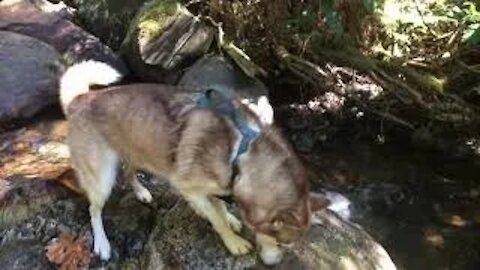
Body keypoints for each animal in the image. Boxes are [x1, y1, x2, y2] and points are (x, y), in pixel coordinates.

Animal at [59, 60, 326, 264]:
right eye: (281, 241)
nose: (278, 261)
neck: (242, 151)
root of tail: (80, 99)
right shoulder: (189, 189)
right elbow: (216, 218)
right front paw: (233, 241)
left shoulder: (220, 185)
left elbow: (220, 206)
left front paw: (231, 218)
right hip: (101, 177)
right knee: (94, 209)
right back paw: (102, 243)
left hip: (137, 149)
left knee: (129, 170)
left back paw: (141, 192)